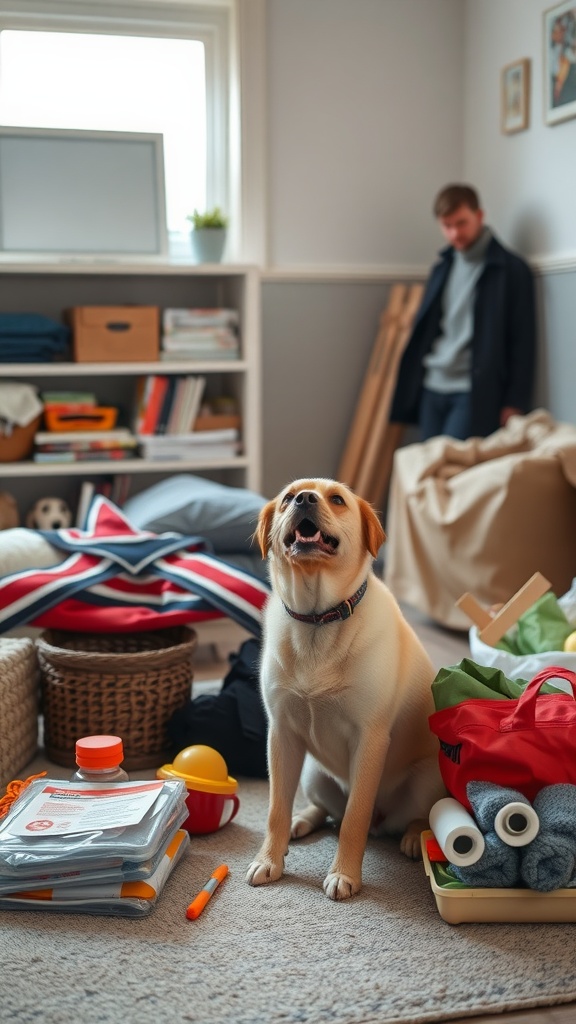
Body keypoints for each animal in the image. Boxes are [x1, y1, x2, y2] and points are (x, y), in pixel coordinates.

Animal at [243, 475, 440, 901]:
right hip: (311, 773)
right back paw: (301, 821)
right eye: (286, 499)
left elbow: (354, 819)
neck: (318, 619)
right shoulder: (281, 734)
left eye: (337, 499)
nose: (303, 499)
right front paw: (269, 859)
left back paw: (413, 838)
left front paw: (344, 874)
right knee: (324, 810)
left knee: (417, 816)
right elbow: (275, 810)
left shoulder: (370, 739)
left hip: (426, 779)